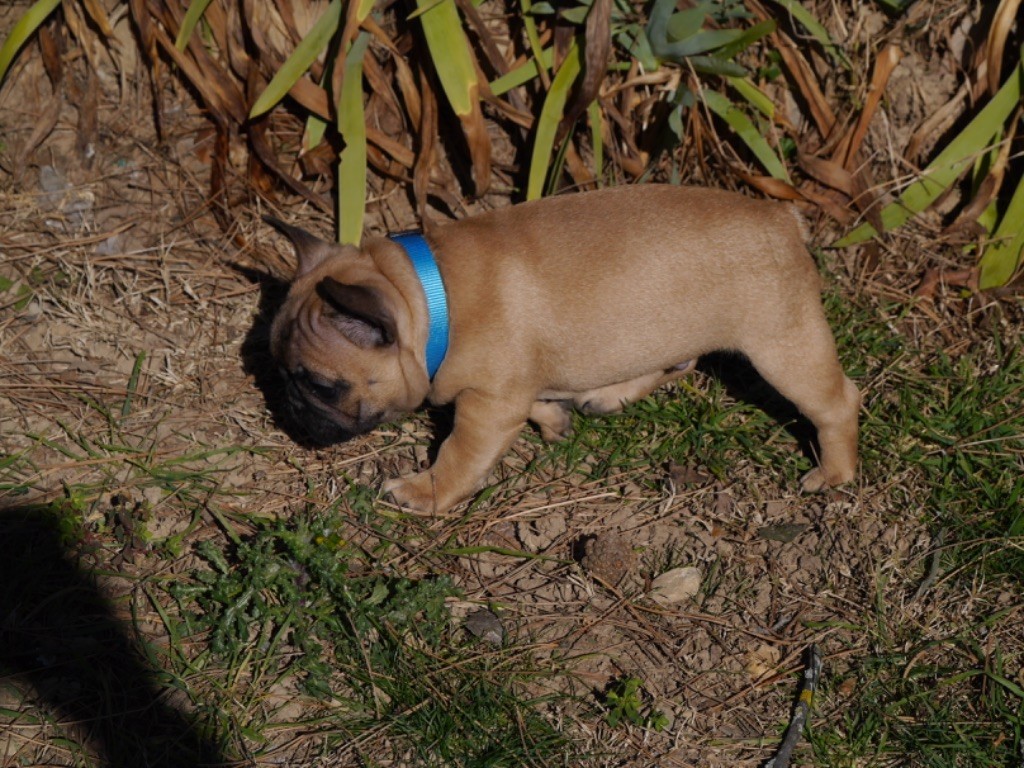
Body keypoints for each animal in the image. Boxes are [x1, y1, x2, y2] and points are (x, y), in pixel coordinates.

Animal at [266, 184, 860, 513]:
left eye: (320, 385)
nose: (288, 411)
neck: (430, 300)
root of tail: (783, 219)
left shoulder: (488, 407)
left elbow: (459, 454)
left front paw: (426, 492)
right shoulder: (512, 389)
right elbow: (535, 400)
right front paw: (552, 417)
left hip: (782, 346)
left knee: (838, 401)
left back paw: (834, 473)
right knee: (681, 360)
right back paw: (607, 394)